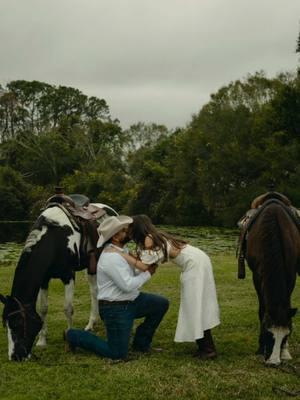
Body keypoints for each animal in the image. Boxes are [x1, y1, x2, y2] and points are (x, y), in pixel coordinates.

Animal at [0, 195, 117, 362]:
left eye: (18, 324)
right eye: (6, 325)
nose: (15, 356)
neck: (55, 238)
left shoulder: (68, 275)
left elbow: (68, 308)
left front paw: (70, 340)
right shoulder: (44, 280)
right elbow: (43, 308)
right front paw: (42, 341)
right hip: (92, 266)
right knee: (94, 292)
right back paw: (91, 325)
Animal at [245, 198, 298, 366]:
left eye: (286, 335)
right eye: (268, 333)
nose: (274, 362)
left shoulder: (291, 274)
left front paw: (285, 351)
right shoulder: (257, 276)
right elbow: (262, 309)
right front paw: (260, 348)